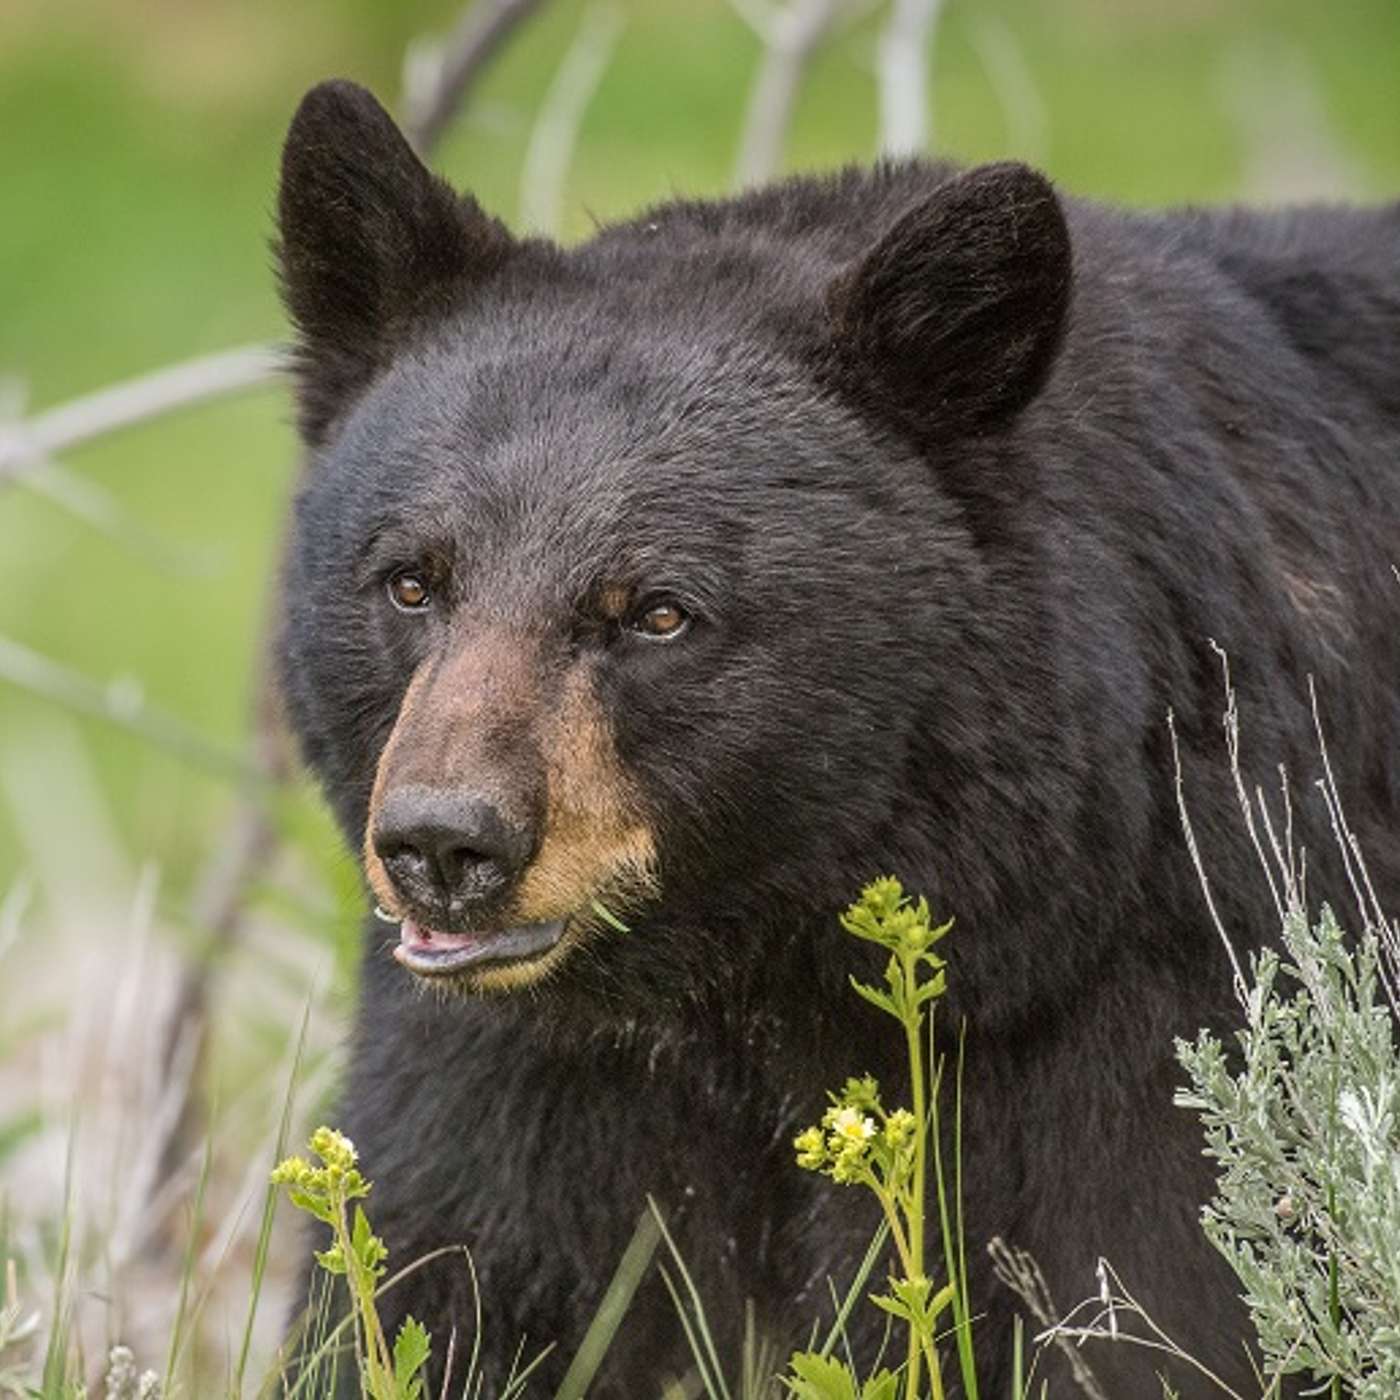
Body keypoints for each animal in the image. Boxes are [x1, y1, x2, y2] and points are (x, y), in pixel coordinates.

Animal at [273, 79, 1400, 1398]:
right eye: (410, 581)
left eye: (657, 610)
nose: (446, 845)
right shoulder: (509, 1082)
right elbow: (439, 1282)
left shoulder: (1164, 976)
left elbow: (1143, 1289)